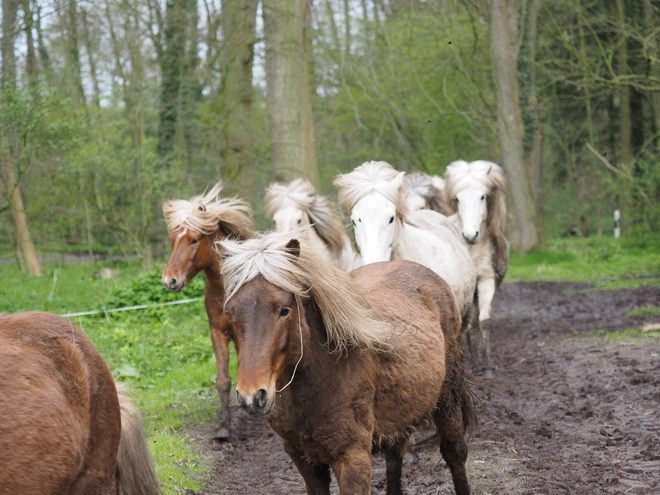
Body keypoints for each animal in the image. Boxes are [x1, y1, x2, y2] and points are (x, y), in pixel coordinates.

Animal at [161, 183, 254, 442]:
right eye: (173, 241)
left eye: (194, 240)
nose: (170, 280)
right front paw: (223, 428)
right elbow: (223, 380)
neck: (225, 290)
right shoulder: (217, 332)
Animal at [219, 232, 476, 495]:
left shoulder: (352, 459)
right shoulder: (304, 460)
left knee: (454, 453)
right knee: (394, 457)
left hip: (447, 399)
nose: (252, 396)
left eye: (284, 310)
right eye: (230, 313)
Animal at [444, 161, 510, 378]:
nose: (470, 235)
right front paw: (473, 365)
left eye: (482, 196)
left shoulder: (486, 280)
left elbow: (484, 321)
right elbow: (467, 326)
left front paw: (488, 367)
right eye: (457, 198)